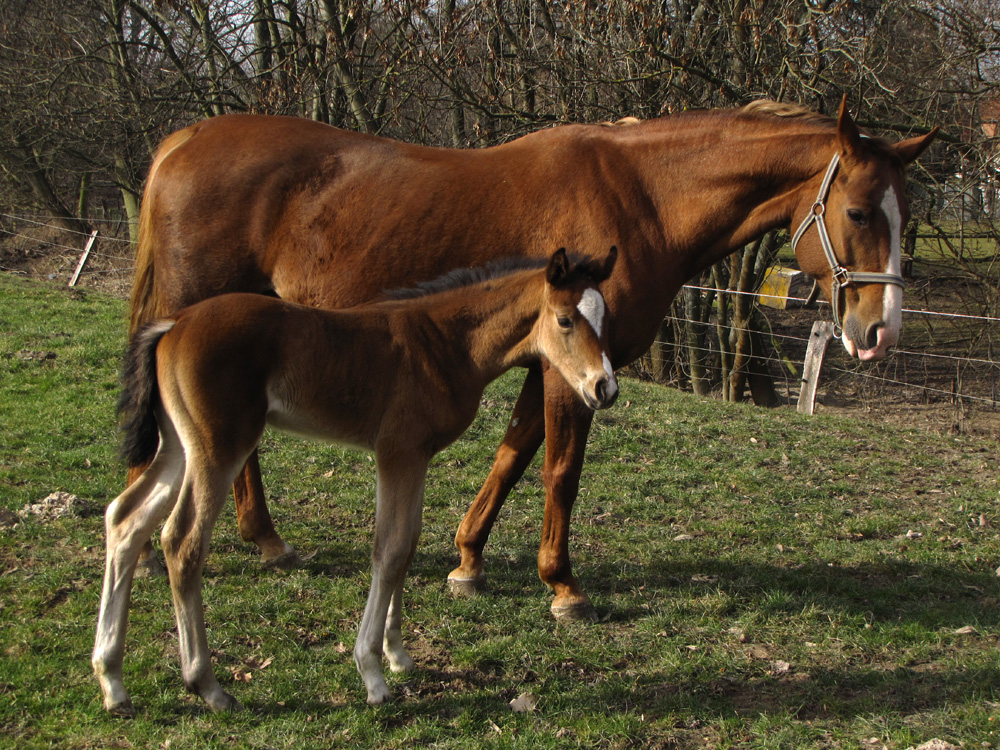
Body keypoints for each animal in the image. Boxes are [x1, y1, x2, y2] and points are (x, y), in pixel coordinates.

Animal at [127, 97, 936, 620]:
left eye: (908, 217)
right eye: (859, 211)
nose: (879, 332)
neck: (643, 197)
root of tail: (183, 141)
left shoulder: (551, 364)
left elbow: (513, 455)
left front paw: (467, 561)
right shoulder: (569, 370)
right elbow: (559, 471)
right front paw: (563, 586)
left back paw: (261, 540)